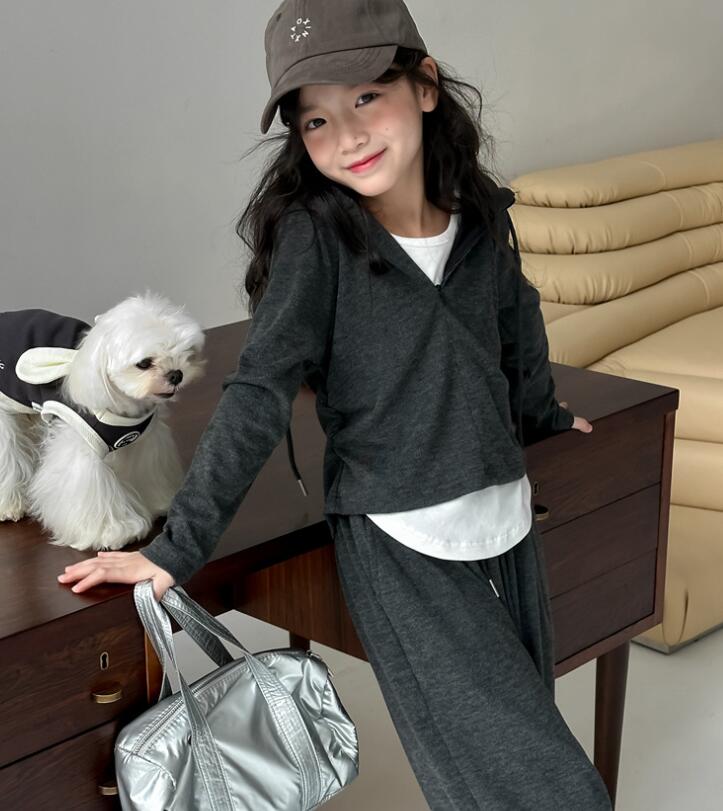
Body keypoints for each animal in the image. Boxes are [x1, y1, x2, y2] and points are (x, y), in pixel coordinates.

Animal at [0, 291, 206, 551]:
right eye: (144, 363)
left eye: (186, 351)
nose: (176, 374)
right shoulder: (81, 446)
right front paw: (115, 531)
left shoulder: (144, 442)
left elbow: (147, 470)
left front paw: (158, 502)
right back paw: (9, 505)